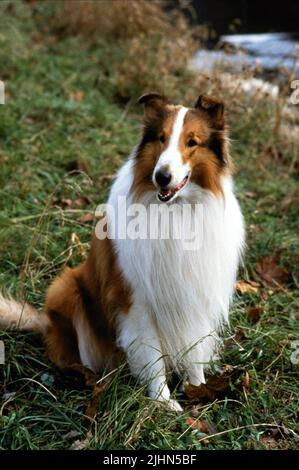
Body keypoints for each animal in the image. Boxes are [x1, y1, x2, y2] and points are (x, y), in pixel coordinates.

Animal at [0, 92, 246, 412]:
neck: (176, 211)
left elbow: (195, 350)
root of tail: (46, 324)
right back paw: (89, 377)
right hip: (66, 287)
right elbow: (153, 357)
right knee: (70, 356)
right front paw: (163, 401)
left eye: (192, 141)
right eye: (161, 138)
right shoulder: (137, 301)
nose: (161, 177)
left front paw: (198, 389)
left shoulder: (197, 292)